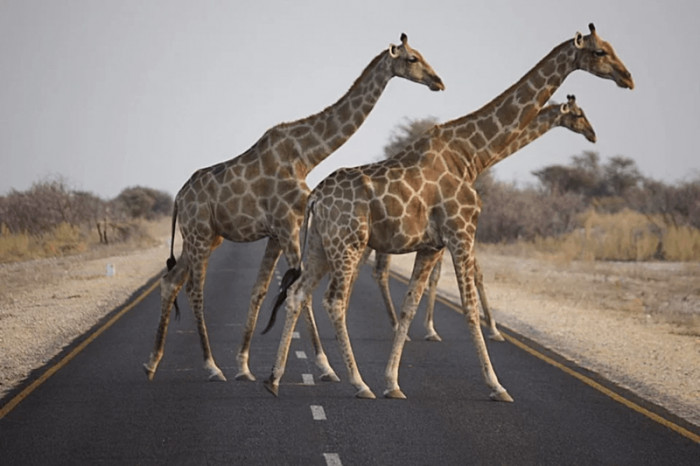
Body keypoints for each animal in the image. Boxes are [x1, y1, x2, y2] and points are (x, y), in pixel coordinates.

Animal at [142, 34, 445, 382]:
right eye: (412, 59)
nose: (438, 82)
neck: (305, 154)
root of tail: (179, 197)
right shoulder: (288, 225)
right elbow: (301, 292)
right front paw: (325, 367)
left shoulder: (277, 232)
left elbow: (259, 291)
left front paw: (244, 365)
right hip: (199, 234)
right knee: (194, 290)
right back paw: (211, 366)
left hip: (205, 237)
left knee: (171, 281)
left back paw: (152, 363)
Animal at [373, 95, 597, 342]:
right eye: (578, 114)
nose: (592, 134)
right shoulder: (455, 228)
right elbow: (468, 275)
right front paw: (487, 329)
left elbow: (451, 275)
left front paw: (436, 327)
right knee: (380, 272)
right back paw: (395, 327)